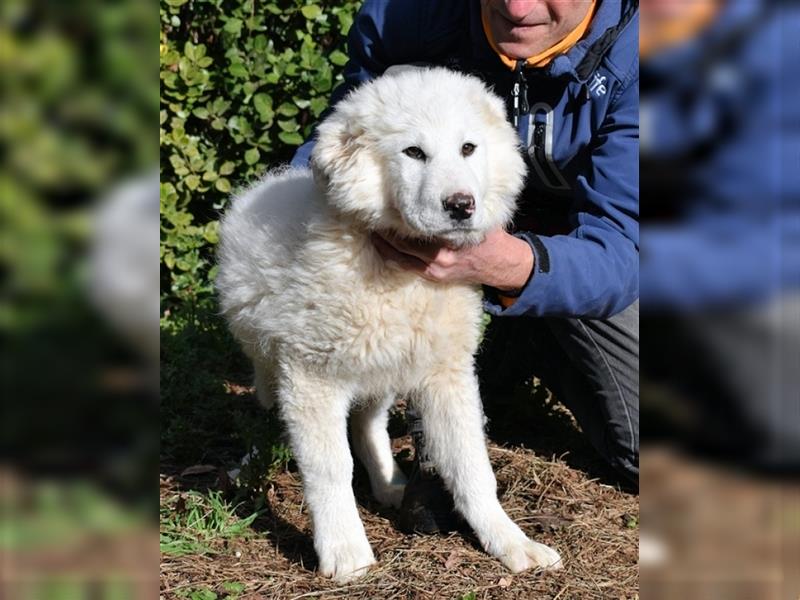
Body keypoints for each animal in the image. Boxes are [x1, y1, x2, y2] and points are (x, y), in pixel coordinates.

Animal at [216, 67, 560, 580]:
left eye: (468, 148)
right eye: (413, 152)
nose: (461, 205)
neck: (403, 275)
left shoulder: (446, 375)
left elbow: (473, 465)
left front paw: (511, 542)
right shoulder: (311, 377)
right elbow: (330, 467)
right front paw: (344, 551)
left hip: (382, 368)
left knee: (367, 424)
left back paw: (388, 483)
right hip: (272, 361)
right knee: (269, 409)